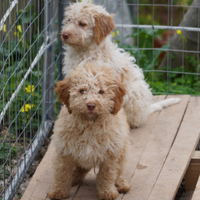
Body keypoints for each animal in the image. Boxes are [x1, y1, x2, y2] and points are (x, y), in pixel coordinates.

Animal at [47, 63, 130, 200]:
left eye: (101, 91)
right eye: (82, 90)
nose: (91, 105)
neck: (89, 125)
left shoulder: (110, 153)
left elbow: (107, 175)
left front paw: (107, 192)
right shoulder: (65, 150)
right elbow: (62, 172)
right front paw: (58, 191)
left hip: (123, 150)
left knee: (120, 170)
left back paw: (122, 184)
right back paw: (75, 176)